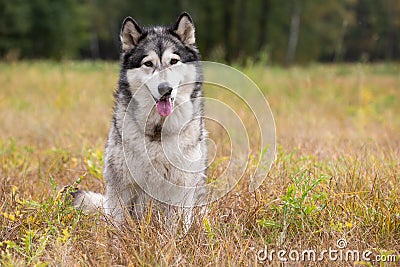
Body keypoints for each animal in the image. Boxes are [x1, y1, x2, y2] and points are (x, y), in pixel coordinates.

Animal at [72, 12, 208, 232]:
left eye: (174, 61)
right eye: (148, 63)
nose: (165, 89)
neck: (158, 132)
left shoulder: (181, 187)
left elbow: (175, 226)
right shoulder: (122, 185)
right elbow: (120, 223)